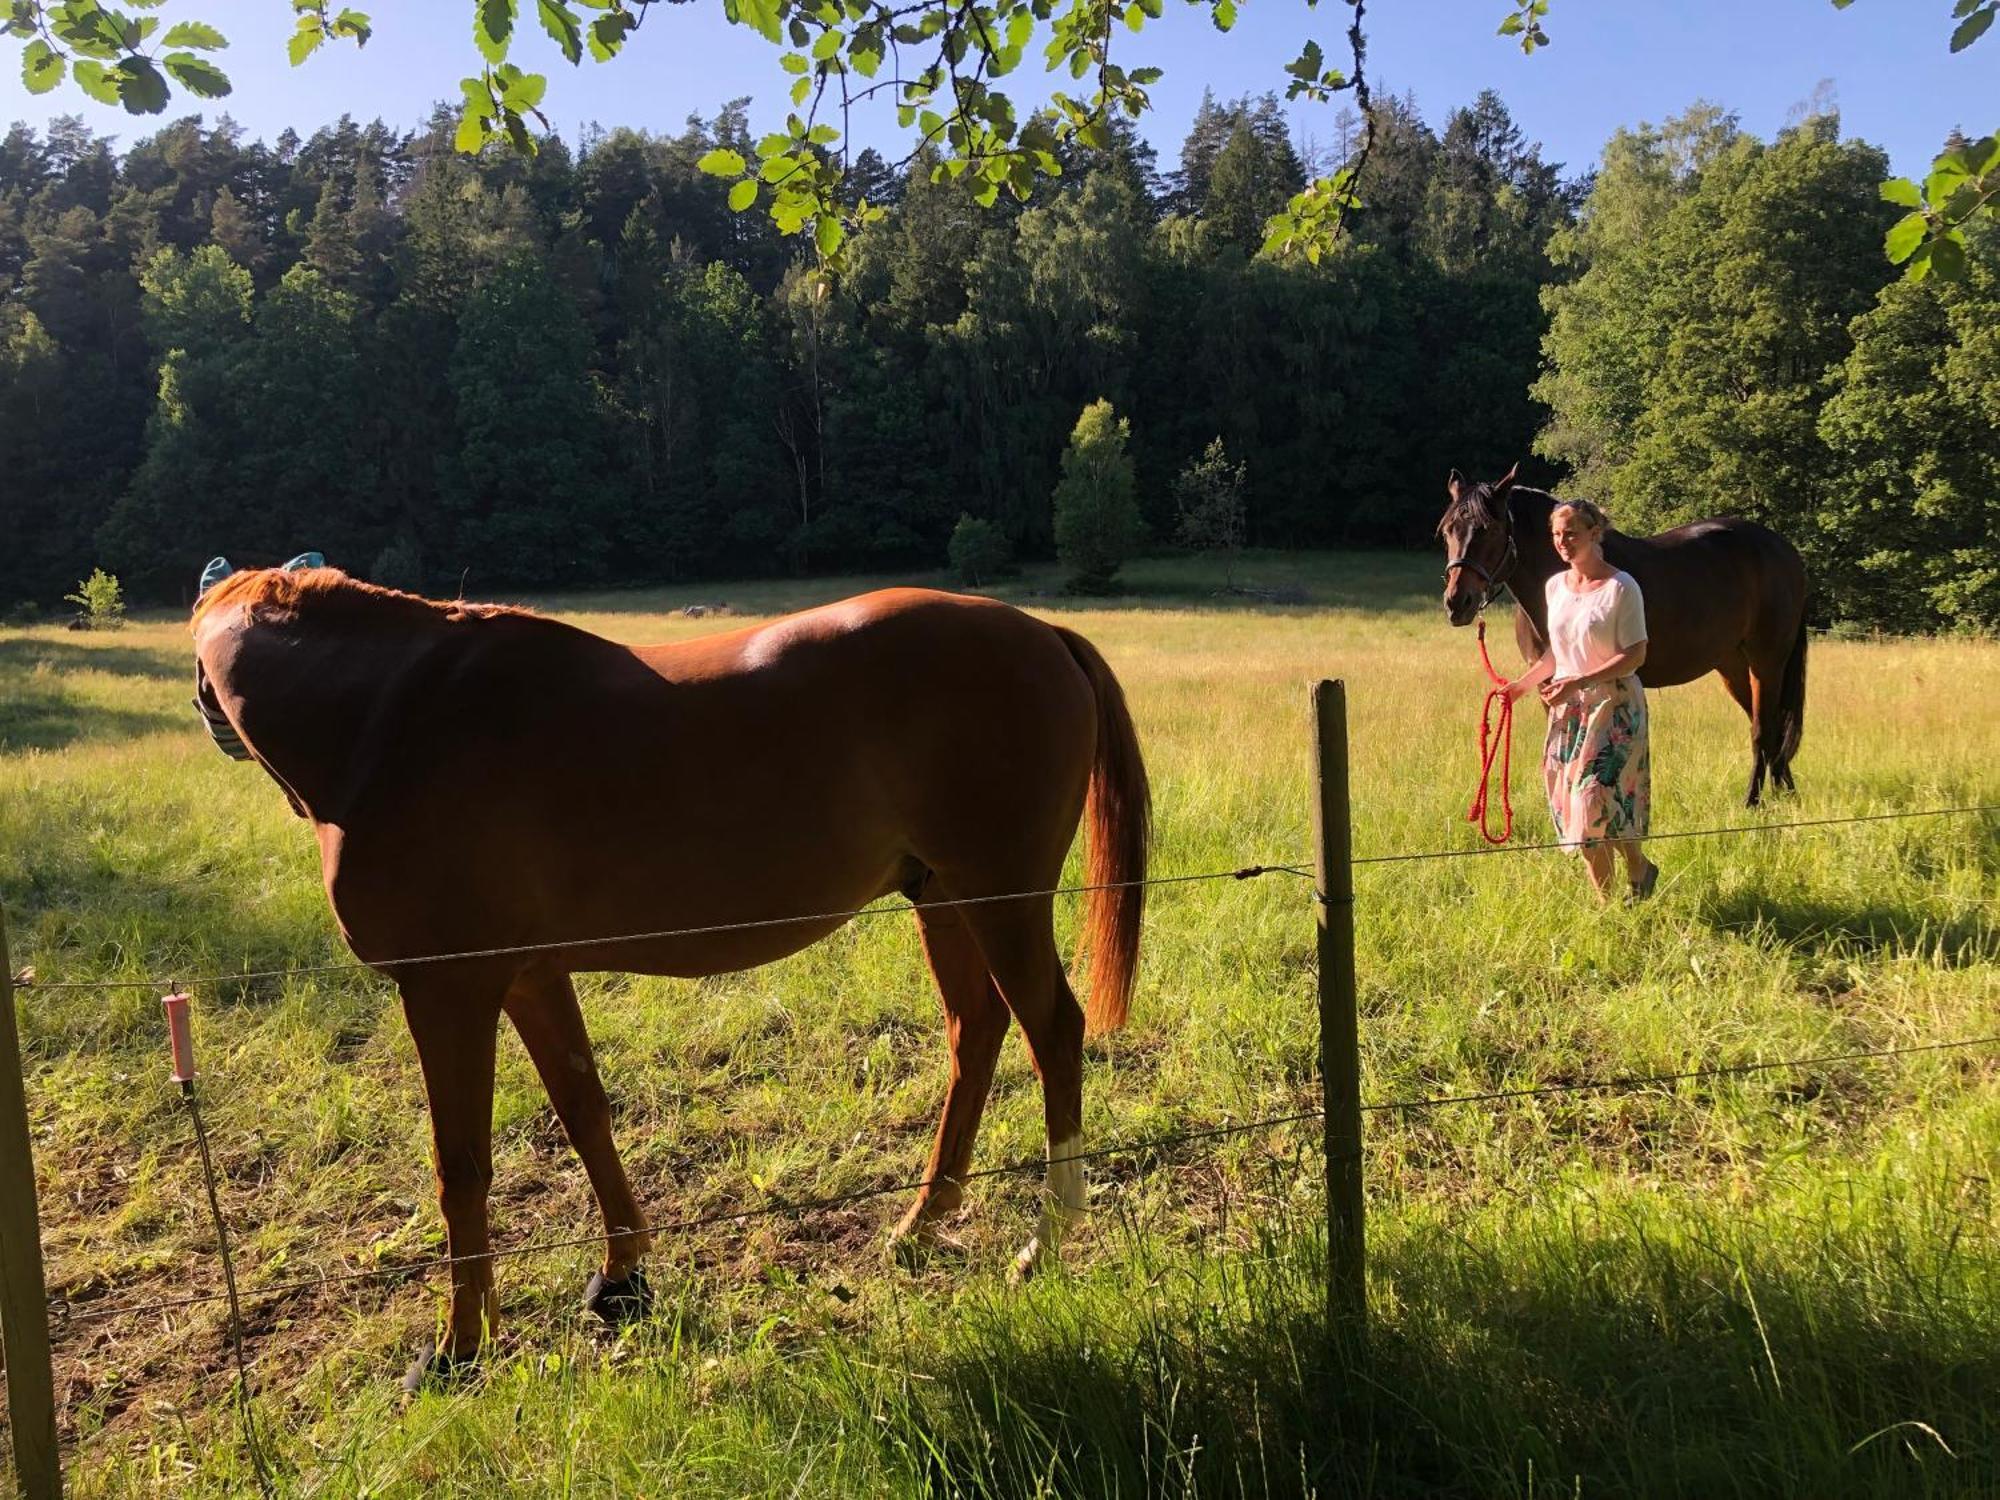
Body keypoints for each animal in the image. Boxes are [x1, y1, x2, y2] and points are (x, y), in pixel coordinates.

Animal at [199, 568, 1160, 1392]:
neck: (390, 717)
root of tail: (1041, 634)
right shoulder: (532, 978)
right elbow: (584, 1113)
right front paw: (622, 1278)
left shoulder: (450, 989)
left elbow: (461, 1166)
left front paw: (457, 1350)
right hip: (943, 898)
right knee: (977, 1032)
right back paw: (920, 1225)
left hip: (1001, 896)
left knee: (1051, 1030)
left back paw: (1047, 1239)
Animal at [1440, 468, 1816, 812]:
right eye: (1447, 531)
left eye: (1488, 529)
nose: (1457, 602)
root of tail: (1784, 550)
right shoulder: (1547, 686)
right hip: (1733, 666)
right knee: (1770, 729)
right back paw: (1786, 794)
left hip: (1767, 662)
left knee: (1762, 730)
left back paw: (1753, 801)